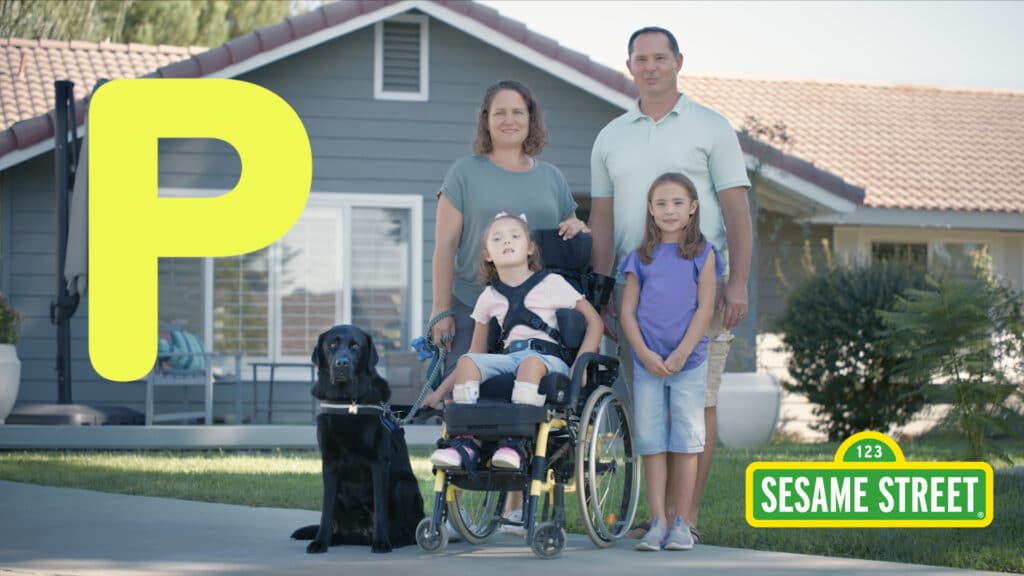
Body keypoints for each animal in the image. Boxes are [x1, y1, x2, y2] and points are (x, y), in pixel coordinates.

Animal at [292, 323, 423, 553]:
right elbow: (325, 510)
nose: (342, 363)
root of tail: (358, 536)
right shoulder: (329, 462)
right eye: (332, 345)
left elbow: (380, 507)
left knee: (410, 532)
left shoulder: (379, 462)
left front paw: (381, 542)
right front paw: (320, 542)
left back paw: (395, 540)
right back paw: (333, 538)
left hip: (403, 486)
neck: (347, 403)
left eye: (355, 346)